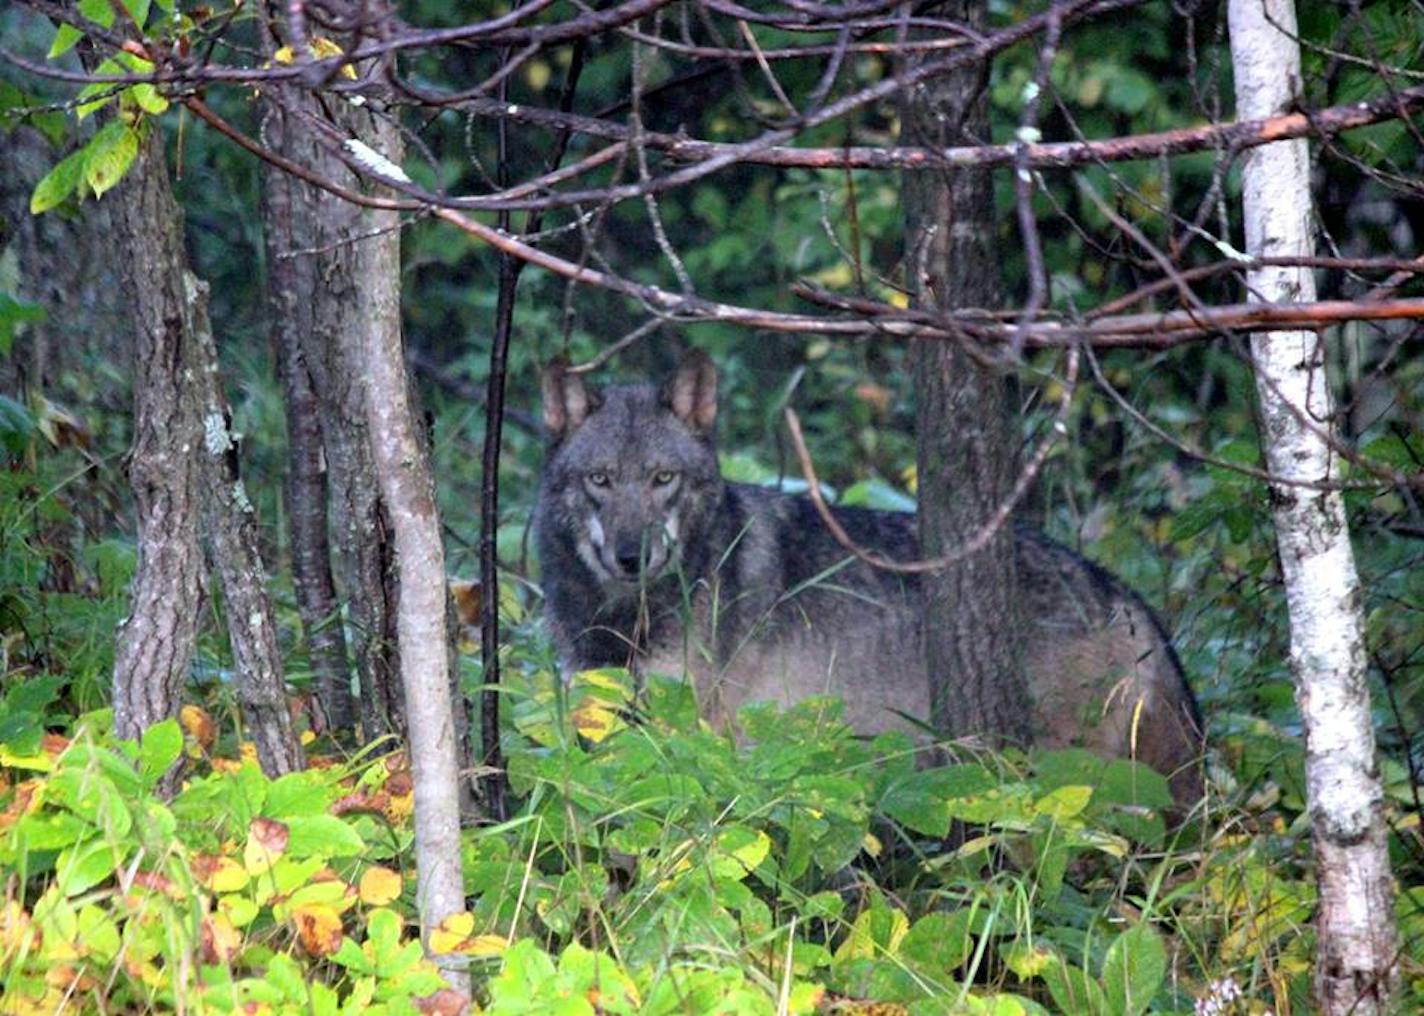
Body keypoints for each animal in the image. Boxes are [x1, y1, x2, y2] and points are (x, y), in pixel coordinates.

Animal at [535, 349, 1201, 797]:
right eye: (600, 480)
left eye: (662, 479)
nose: (631, 557)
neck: (621, 618)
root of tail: (1123, 595)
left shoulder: (699, 738)